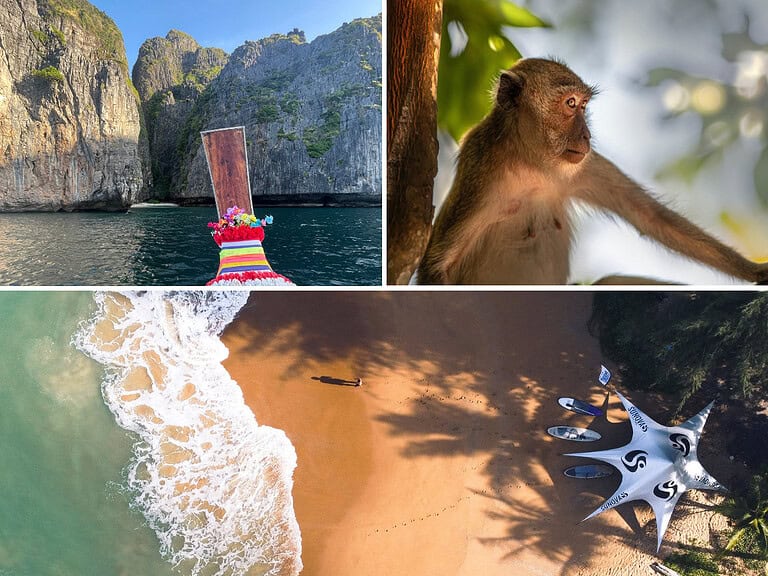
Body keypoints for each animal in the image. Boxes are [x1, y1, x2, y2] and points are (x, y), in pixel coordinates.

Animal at [417, 58, 768, 285]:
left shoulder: (582, 167)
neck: (532, 164)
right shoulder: (483, 170)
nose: (586, 135)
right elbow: (436, 266)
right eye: (570, 104)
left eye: (583, 106)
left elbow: (650, 216)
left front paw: (754, 271)